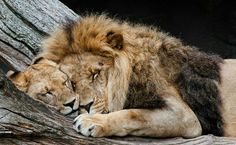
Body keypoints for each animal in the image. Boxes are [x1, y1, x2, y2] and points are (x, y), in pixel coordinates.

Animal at [7, 14, 236, 138]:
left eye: (96, 74)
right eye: (71, 81)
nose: (84, 106)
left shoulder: (185, 117)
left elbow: (133, 114)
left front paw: (92, 120)